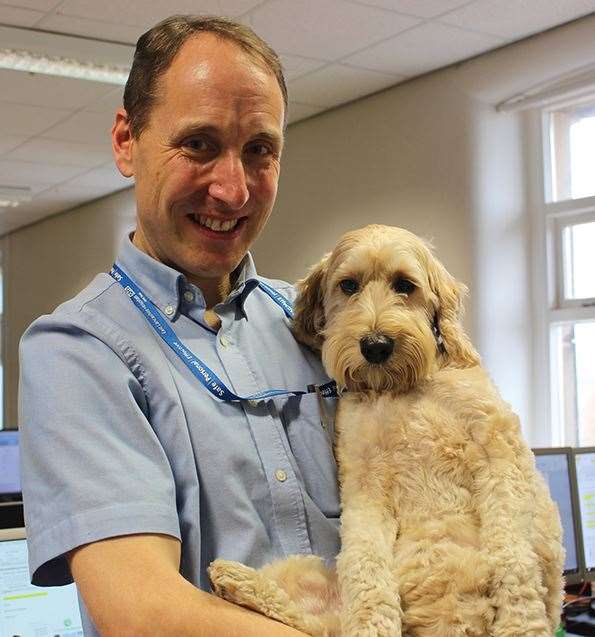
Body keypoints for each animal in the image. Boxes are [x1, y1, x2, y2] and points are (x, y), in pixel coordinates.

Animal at [208, 225, 564, 636]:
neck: (400, 388)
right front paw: (371, 623)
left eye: (404, 285)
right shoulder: (364, 482)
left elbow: (512, 554)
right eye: (348, 285)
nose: (375, 346)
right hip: (304, 574)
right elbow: (364, 564)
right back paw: (230, 576)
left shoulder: (499, 453)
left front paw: (520, 623)